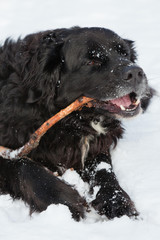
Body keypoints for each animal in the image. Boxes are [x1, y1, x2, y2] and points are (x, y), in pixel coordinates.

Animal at [0, 27, 152, 220]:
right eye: (92, 60)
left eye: (124, 53)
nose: (136, 72)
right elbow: (23, 165)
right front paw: (63, 199)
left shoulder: (92, 147)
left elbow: (104, 171)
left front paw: (118, 202)